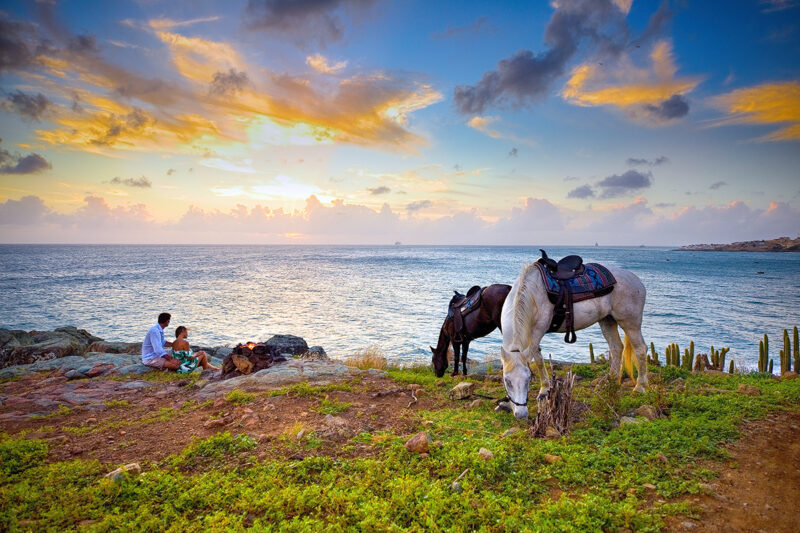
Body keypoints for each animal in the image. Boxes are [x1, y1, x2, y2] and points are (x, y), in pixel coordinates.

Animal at [496, 260, 648, 418]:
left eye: (528, 379)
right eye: (507, 381)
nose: (521, 414)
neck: (532, 293)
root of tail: (636, 280)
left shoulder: (537, 332)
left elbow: (537, 360)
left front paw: (543, 391)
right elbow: (538, 359)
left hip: (630, 322)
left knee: (640, 349)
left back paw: (640, 387)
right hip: (607, 320)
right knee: (617, 348)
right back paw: (610, 382)